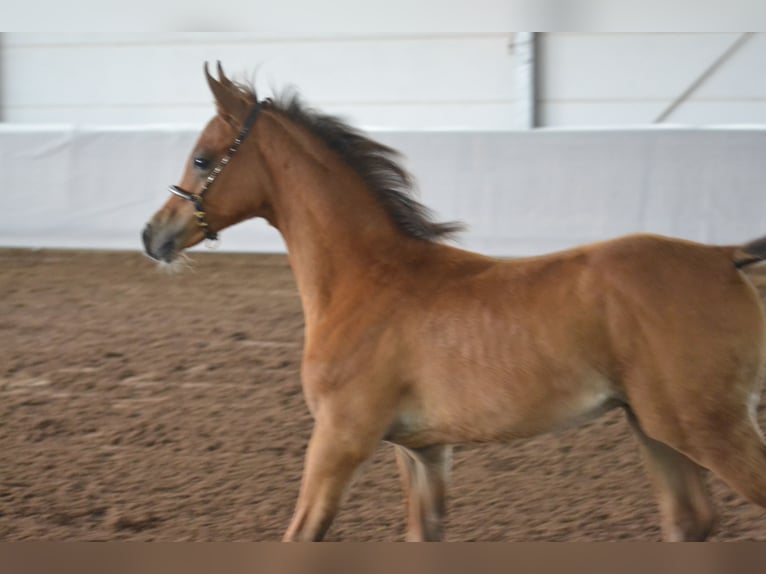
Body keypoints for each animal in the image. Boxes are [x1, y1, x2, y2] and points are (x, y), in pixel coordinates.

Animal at [143, 63, 766, 542]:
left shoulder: (340, 440)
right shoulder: (422, 451)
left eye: (202, 159)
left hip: (707, 427)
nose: (154, 235)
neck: (366, 280)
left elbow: (300, 535)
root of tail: (723, 255)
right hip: (656, 429)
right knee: (690, 523)